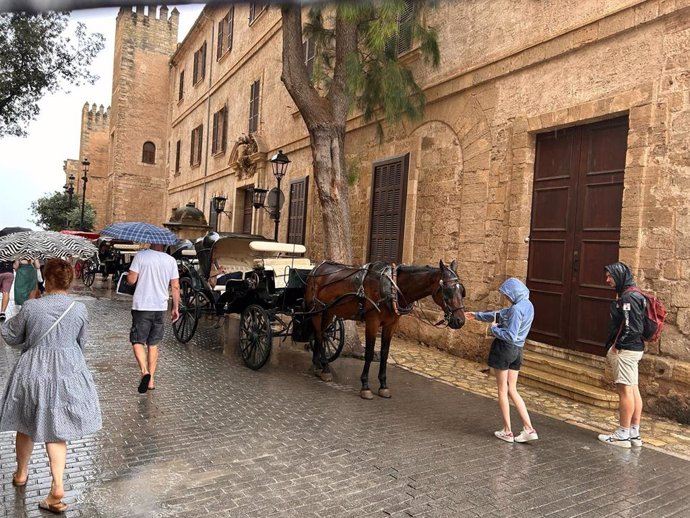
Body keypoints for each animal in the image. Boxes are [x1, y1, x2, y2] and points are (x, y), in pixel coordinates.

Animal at [306, 262, 462, 400]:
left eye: (462, 291)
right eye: (448, 291)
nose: (460, 321)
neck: (392, 289)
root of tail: (316, 268)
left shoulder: (391, 325)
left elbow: (385, 353)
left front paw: (383, 386)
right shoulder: (372, 322)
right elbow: (369, 353)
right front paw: (365, 386)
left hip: (328, 311)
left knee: (321, 334)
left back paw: (318, 364)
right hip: (316, 310)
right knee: (318, 335)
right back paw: (325, 369)